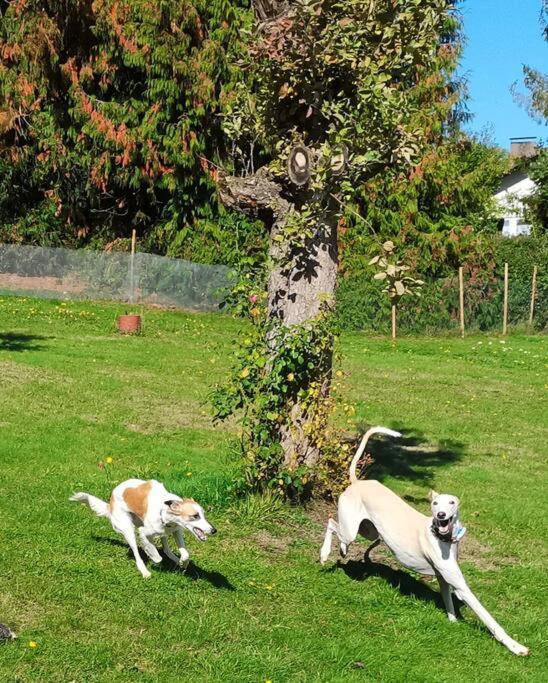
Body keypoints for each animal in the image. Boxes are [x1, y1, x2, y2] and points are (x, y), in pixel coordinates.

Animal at [68, 478, 214, 580]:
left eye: (203, 515)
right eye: (195, 516)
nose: (214, 530)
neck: (164, 511)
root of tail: (110, 503)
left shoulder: (176, 530)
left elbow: (185, 554)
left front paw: (183, 563)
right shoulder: (143, 532)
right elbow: (154, 553)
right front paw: (154, 557)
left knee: (166, 548)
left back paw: (176, 560)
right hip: (128, 529)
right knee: (137, 553)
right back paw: (144, 571)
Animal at [318, 428, 528, 656]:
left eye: (452, 502)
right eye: (434, 503)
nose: (441, 515)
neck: (441, 537)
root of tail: (357, 482)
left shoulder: (444, 577)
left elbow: (448, 602)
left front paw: (453, 622)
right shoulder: (460, 586)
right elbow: (488, 618)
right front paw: (515, 646)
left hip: (369, 531)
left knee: (346, 536)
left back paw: (342, 550)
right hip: (351, 530)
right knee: (331, 523)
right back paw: (324, 553)